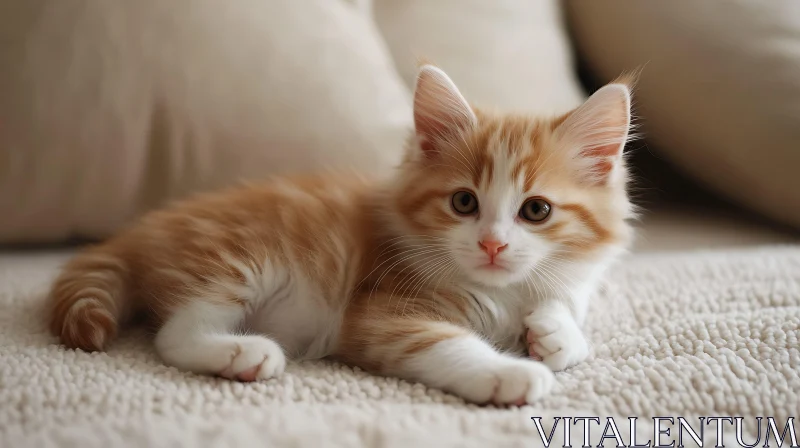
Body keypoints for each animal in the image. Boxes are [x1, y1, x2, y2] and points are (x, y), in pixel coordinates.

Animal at [50, 66, 636, 406]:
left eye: (536, 210)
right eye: (463, 203)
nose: (492, 244)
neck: (503, 293)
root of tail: (141, 228)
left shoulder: (573, 281)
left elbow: (569, 310)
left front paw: (554, 332)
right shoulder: (382, 312)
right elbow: (447, 343)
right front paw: (508, 373)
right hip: (240, 259)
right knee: (174, 334)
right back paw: (243, 354)